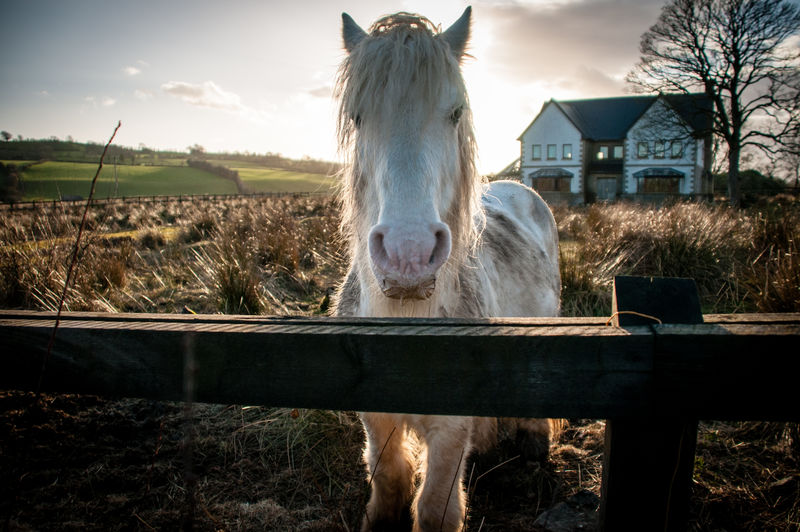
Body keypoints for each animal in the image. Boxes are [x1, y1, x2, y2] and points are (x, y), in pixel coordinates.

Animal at [334, 8, 560, 532]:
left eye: (455, 112)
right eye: (357, 116)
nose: (408, 256)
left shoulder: (451, 427)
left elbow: (436, 505)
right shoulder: (375, 416)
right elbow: (391, 478)